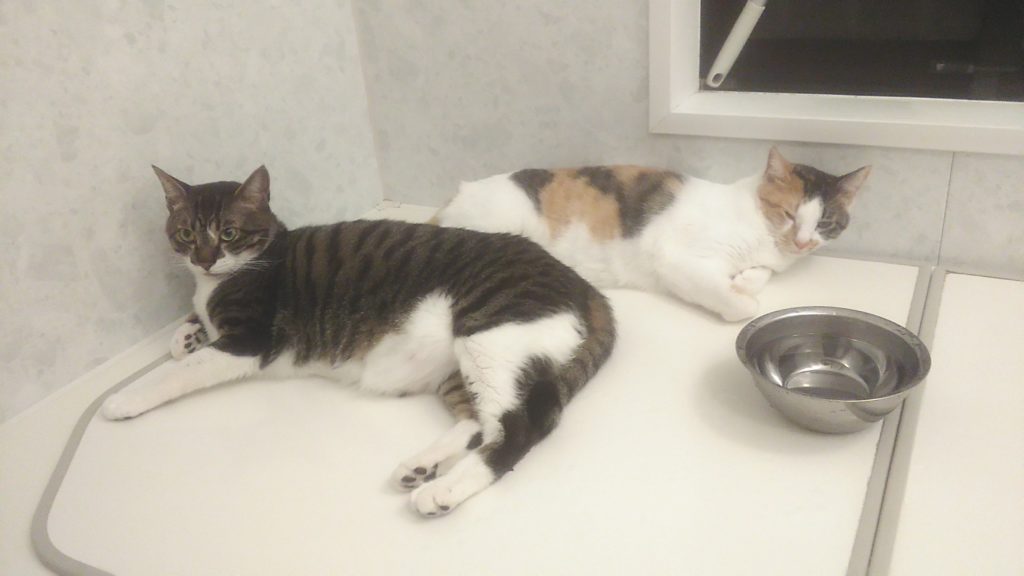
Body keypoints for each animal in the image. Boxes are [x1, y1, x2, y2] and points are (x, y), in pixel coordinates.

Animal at [101, 165, 616, 517]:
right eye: (187, 233)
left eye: (228, 233)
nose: (204, 259)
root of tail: (588, 289)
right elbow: (190, 332)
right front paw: (184, 333)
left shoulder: (248, 339)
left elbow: (176, 373)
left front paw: (123, 398)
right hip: (461, 364)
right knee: (476, 420)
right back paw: (422, 466)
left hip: (488, 333)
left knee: (520, 426)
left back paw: (441, 490)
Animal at [433, 148, 870, 322]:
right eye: (789, 214)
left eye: (825, 222)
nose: (803, 241)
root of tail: (454, 197)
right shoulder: (676, 259)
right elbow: (740, 303)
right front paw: (742, 298)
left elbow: (758, 274)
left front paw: (746, 280)